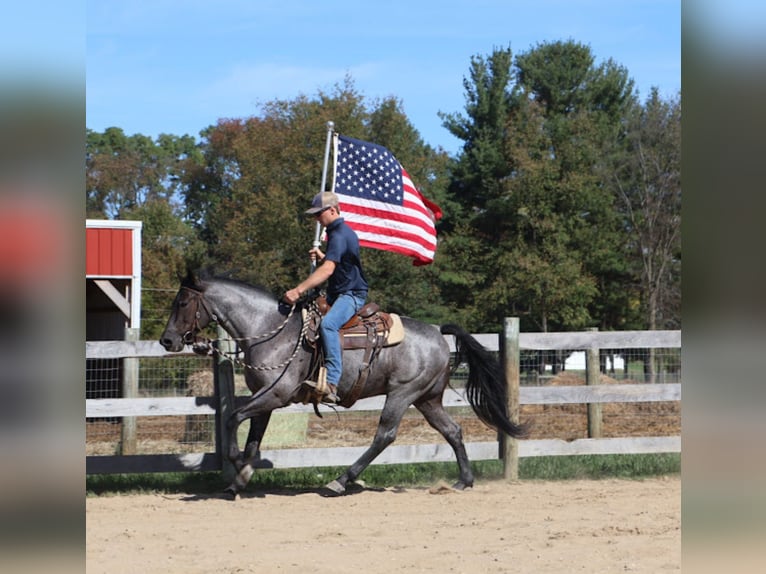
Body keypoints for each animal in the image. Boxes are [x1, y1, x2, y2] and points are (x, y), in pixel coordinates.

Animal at [159, 270, 527, 498]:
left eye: (182, 302)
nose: (167, 340)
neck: (270, 330)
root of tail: (438, 332)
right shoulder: (263, 397)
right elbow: (253, 439)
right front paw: (239, 480)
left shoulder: (276, 394)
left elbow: (233, 419)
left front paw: (235, 463)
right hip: (428, 398)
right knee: (453, 431)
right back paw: (463, 481)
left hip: (402, 393)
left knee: (384, 436)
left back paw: (340, 481)